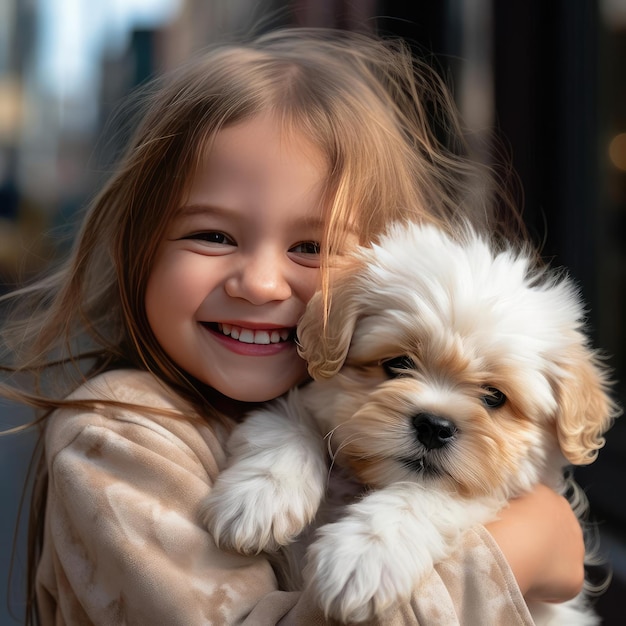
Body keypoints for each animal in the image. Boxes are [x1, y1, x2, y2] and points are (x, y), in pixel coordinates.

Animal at [201, 219, 616, 620]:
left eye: (494, 397)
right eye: (398, 364)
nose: (434, 426)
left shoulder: (481, 493)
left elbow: (423, 496)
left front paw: (363, 556)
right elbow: (288, 423)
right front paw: (258, 497)